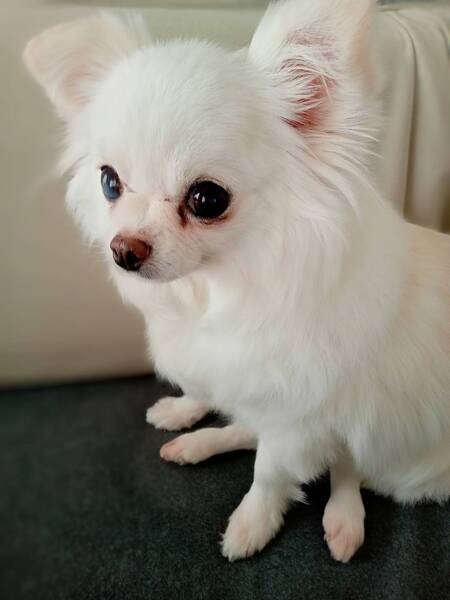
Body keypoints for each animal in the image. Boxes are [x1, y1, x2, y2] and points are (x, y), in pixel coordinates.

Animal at [24, 0, 450, 562]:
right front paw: (188, 409)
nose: (123, 250)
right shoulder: (231, 372)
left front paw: (254, 521)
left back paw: (343, 517)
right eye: (109, 182)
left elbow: (269, 473)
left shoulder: (296, 417)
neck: (218, 292)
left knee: (346, 466)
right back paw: (194, 440)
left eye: (207, 199)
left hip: (407, 466)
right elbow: (213, 394)